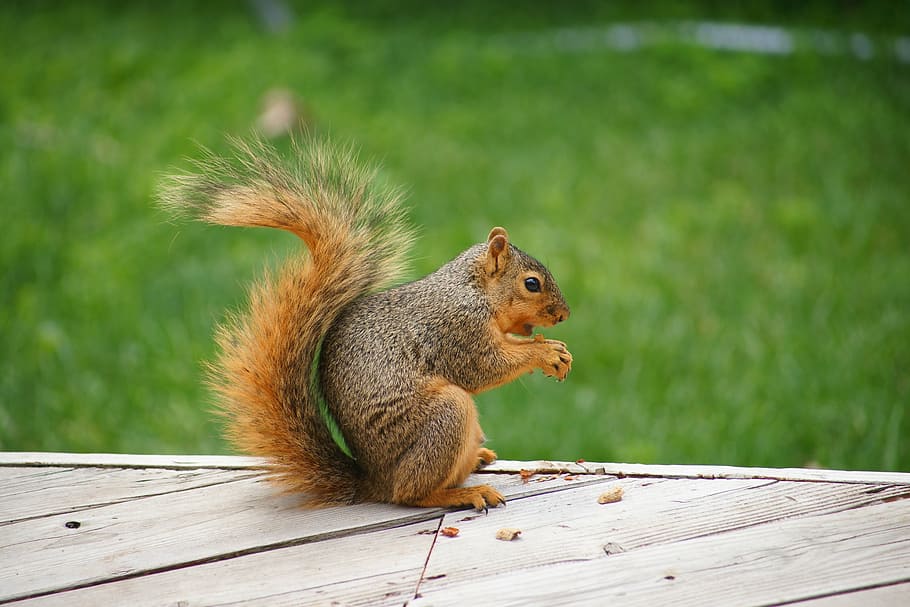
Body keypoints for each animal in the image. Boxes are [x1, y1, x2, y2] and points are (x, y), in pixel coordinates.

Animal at [160, 137, 572, 511]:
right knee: (410, 492)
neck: (473, 288)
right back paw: (461, 493)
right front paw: (546, 352)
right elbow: (482, 367)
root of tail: (374, 480)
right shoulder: (457, 328)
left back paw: (477, 460)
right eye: (531, 284)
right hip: (445, 416)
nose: (563, 315)